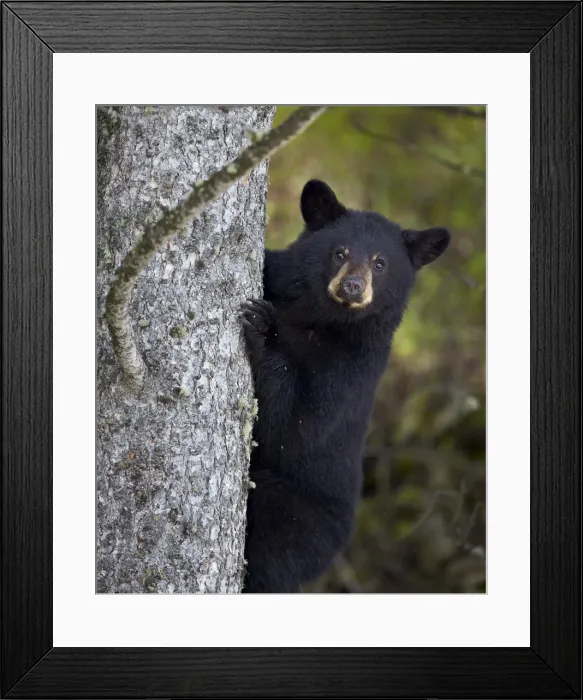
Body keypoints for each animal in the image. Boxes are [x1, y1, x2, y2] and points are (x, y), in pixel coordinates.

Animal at [240, 179, 450, 593]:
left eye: (380, 263)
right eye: (340, 253)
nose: (352, 287)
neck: (317, 319)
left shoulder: (354, 367)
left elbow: (299, 427)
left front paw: (264, 329)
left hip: (298, 518)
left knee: (271, 560)